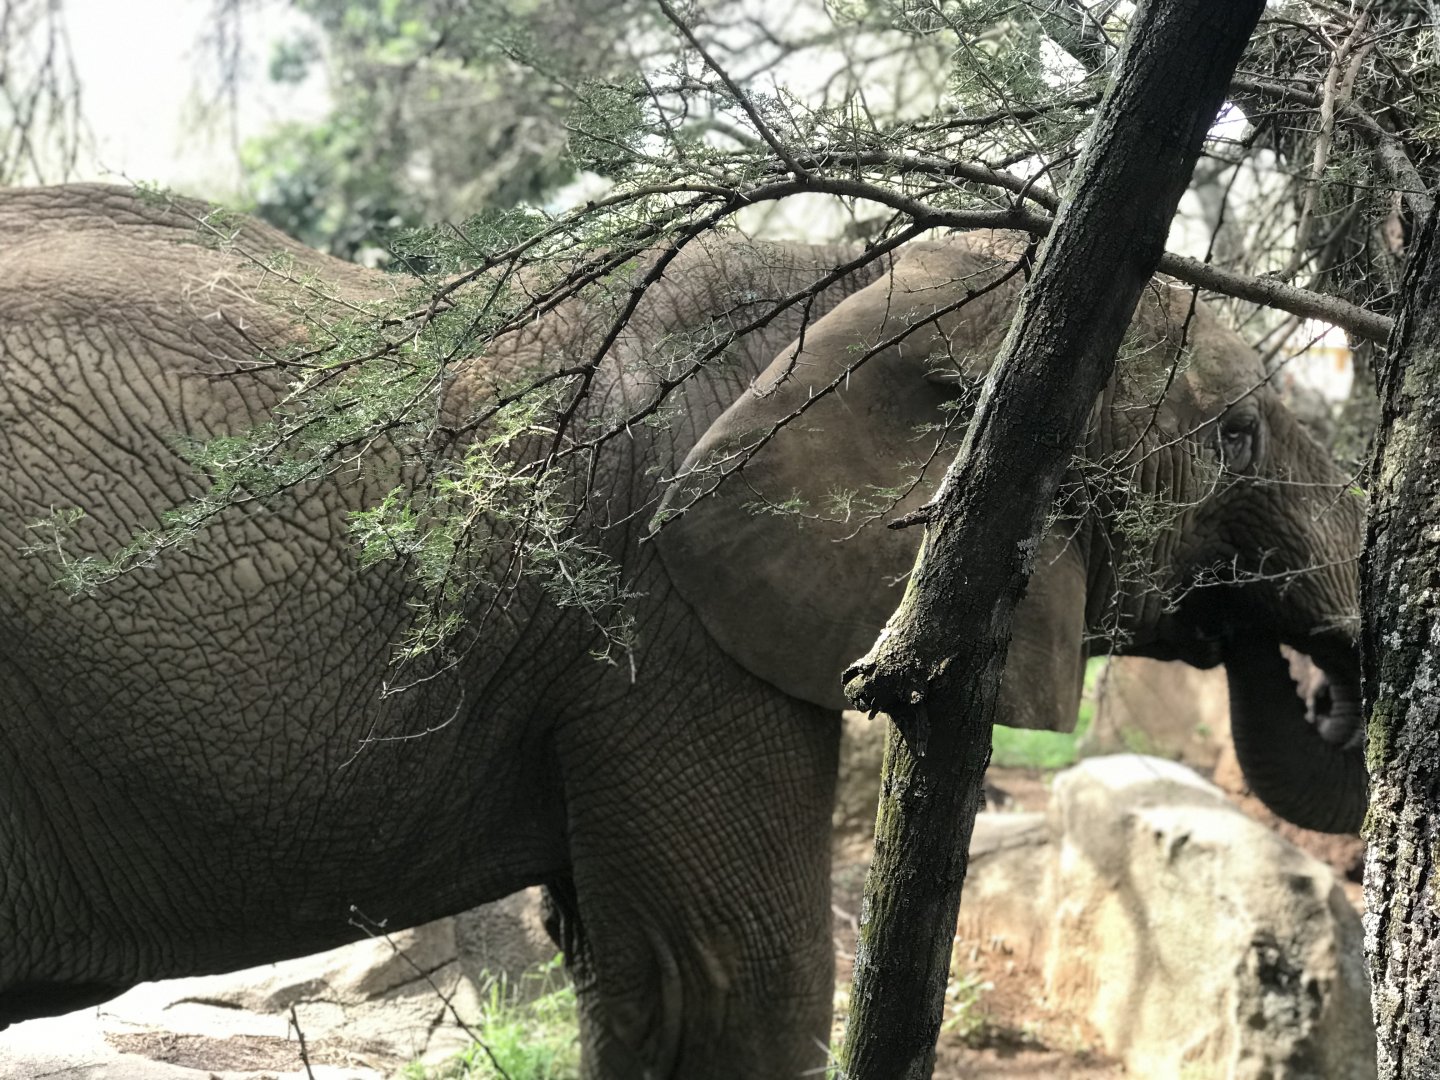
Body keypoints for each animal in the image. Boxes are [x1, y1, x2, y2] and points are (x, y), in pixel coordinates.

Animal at [0, 184, 1363, 1078]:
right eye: (1236, 435)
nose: (1318, 684)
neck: (862, 274)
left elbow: (624, 972)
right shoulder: (668, 615)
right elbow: (735, 979)